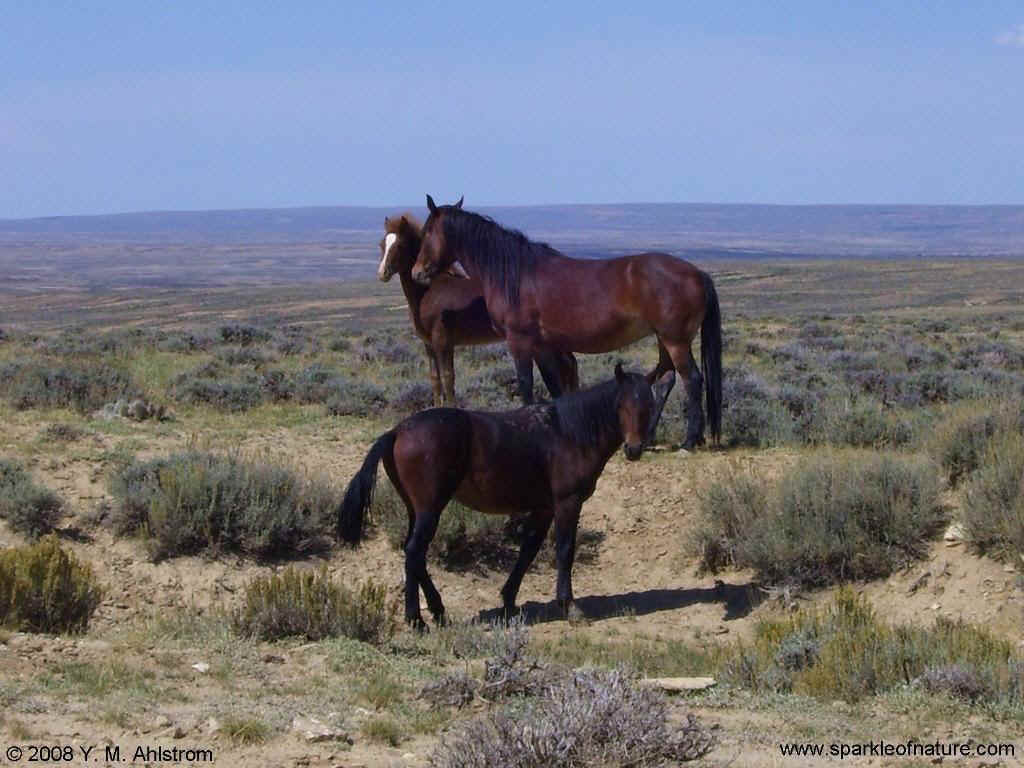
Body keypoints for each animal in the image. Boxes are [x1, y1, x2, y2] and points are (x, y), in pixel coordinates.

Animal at [335, 366, 671, 630]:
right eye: (621, 405)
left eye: (649, 404)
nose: (634, 449)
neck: (568, 431)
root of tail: (397, 431)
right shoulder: (567, 503)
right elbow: (564, 551)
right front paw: (569, 606)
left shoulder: (543, 508)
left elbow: (528, 551)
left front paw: (509, 600)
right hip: (430, 509)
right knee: (414, 552)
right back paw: (422, 617)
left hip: (414, 510)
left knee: (413, 555)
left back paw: (430, 613)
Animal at [380, 207, 581, 405]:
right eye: (382, 245)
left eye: (399, 245)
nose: (382, 273)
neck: (427, 292)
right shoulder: (429, 345)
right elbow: (435, 380)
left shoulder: (443, 342)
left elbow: (448, 378)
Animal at [411, 196, 724, 450]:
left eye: (426, 232)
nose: (417, 273)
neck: (515, 275)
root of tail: (698, 274)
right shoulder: (544, 345)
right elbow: (554, 387)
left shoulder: (519, 341)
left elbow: (526, 384)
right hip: (664, 338)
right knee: (666, 379)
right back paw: (649, 439)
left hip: (675, 340)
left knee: (692, 379)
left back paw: (689, 441)